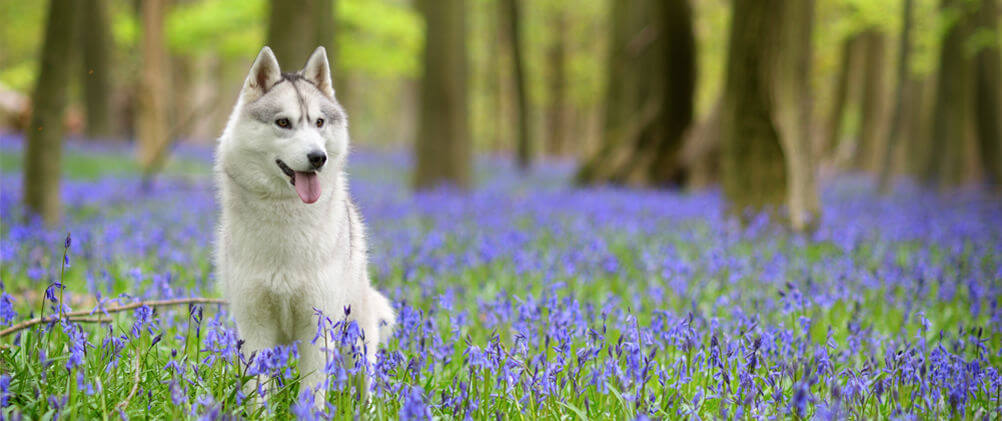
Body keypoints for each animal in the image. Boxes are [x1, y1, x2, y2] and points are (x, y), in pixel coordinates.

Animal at [213, 46, 392, 398]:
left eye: (319, 122)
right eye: (283, 122)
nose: (318, 158)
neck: (285, 214)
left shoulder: (317, 325)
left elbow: (314, 392)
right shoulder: (255, 326)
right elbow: (259, 390)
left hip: (356, 340)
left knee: (365, 386)